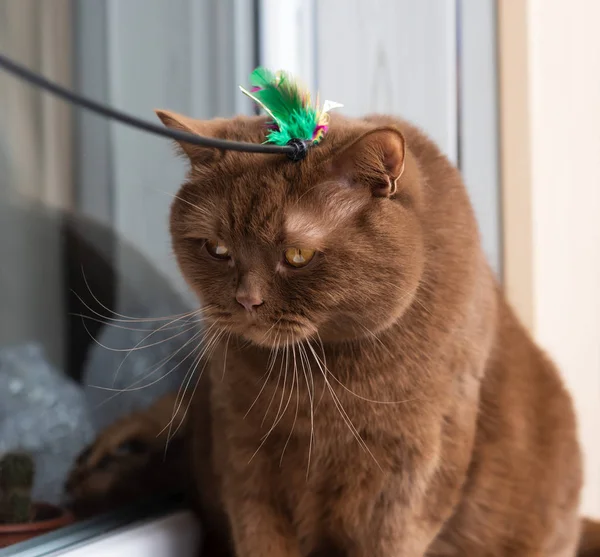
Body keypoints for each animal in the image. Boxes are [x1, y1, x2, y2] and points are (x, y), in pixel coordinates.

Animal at [67, 109, 600, 556]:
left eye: (297, 256)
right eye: (217, 250)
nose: (246, 300)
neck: (318, 391)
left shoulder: (408, 476)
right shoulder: (246, 457)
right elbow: (259, 536)